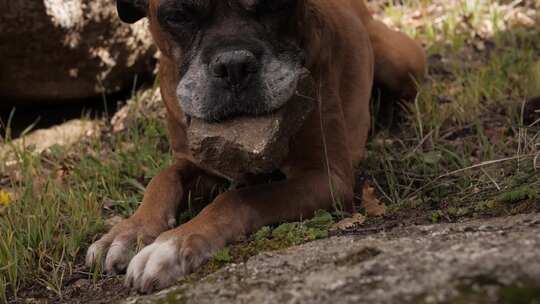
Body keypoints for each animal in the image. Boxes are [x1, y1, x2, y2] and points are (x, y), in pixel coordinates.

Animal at [85, 0, 426, 294]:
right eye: (179, 15)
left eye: (274, 3)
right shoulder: (197, 163)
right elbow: (163, 178)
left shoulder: (329, 179)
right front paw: (130, 231)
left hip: (398, 62)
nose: (233, 64)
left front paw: (173, 246)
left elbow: (240, 198)